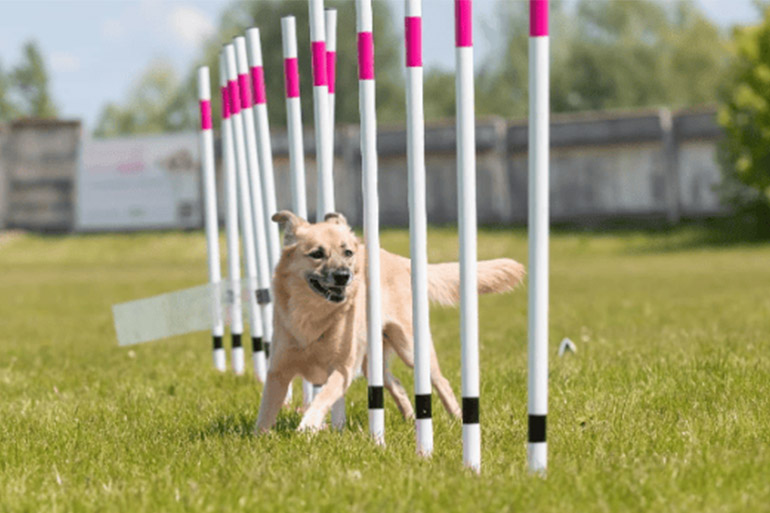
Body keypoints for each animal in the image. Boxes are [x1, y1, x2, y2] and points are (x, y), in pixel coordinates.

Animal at [255, 211, 524, 432]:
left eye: (347, 253)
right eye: (317, 254)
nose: (344, 276)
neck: (312, 314)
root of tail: (400, 260)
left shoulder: (342, 370)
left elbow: (322, 398)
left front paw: (307, 425)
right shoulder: (278, 371)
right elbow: (266, 412)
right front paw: (261, 439)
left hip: (411, 349)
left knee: (441, 382)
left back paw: (458, 419)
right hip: (372, 363)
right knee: (395, 384)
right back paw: (411, 418)